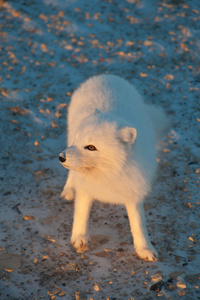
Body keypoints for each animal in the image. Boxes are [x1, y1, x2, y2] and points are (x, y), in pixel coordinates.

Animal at [58, 74, 168, 260]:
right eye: (78, 139)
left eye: (91, 147)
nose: (61, 157)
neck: (108, 172)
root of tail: (105, 76)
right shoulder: (86, 188)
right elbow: (81, 214)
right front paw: (79, 238)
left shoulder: (133, 192)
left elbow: (139, 224)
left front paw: (144, 249)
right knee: (72, 174)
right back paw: (69, 190)